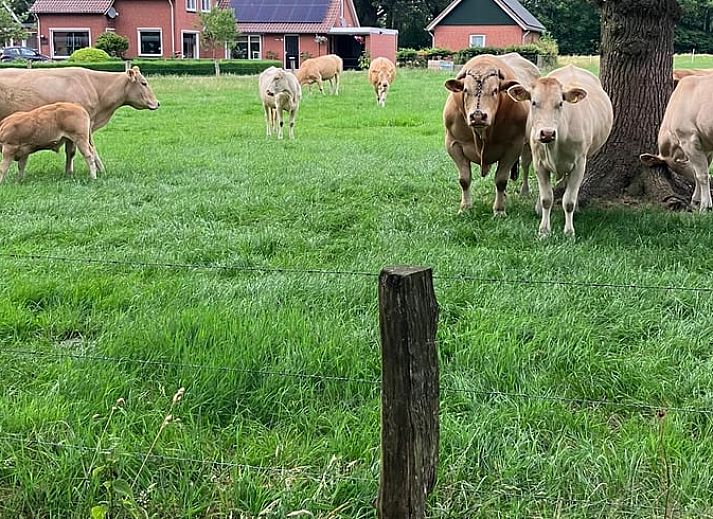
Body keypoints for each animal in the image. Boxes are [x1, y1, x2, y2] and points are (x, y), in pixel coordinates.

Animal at [443, 54, 529, 216]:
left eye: (495, 90)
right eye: (465, 90)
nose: (477, 116)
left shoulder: (513, 146)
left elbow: (501, 180)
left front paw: (499, 210)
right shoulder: (453, 143)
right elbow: (464, 179)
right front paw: (465, 207)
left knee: (526, 165)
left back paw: (524, 192)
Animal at [507, 64, 613, 237]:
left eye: (560, 103)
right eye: (534, 102)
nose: (547, 133)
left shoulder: (579, 164)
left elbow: (568, 200)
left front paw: (569, 231)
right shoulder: (539, 163)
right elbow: (547, 199)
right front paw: (544, 230)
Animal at [640, 73, 713, 212]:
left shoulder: (688, 139)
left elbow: (701, 175)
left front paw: (705, 206)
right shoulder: (706, 147)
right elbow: (698, 173)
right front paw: (696, 200)